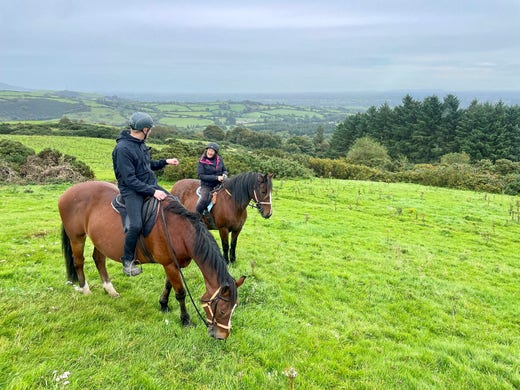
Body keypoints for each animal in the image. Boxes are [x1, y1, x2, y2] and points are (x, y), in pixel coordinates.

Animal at [58, 181, 245, 340]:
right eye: (222, 311)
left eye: (234, 308)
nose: (222, 336)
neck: (179, 231)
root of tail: (67, 193)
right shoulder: (170, 264)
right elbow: (180, 293)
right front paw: (185, 320)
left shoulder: (173, 264)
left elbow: (168, 285)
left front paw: (163, 305)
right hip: (77, 238)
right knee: (79, 262)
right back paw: (85, 289)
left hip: (101, 240)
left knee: (99, 259)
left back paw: (110, 290)